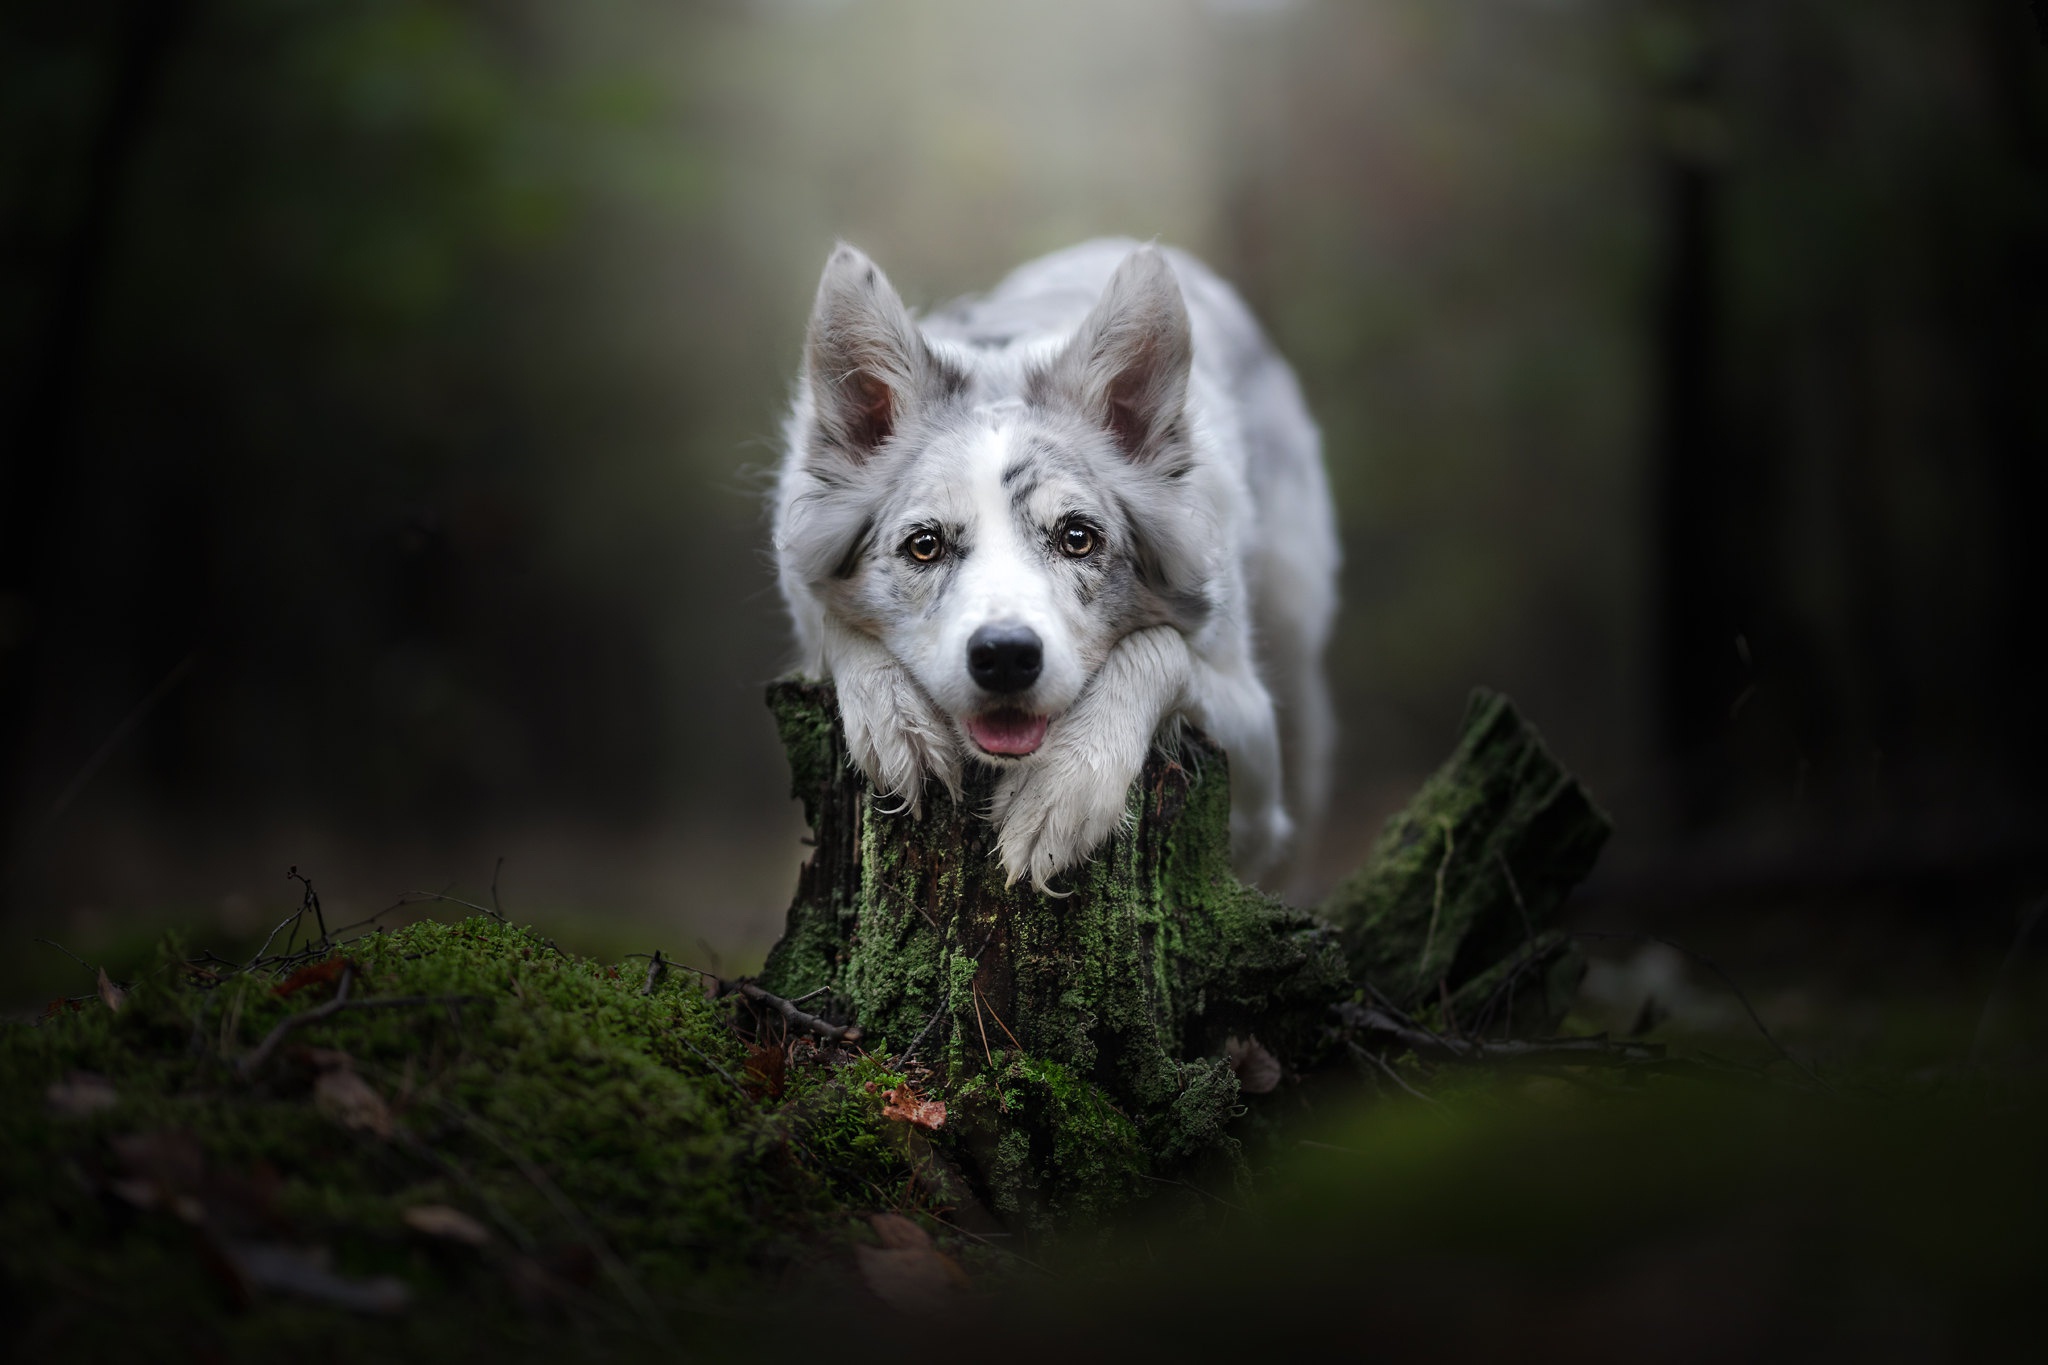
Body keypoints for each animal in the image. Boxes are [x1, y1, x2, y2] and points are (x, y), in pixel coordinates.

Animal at [774, 240, 1335, 892]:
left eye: (1077, 539)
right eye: (924, 546)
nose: (1006, 658)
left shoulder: (1252, 774)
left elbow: (1160, 646)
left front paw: (1065, 786)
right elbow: (833, 625)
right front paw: (897, 721)